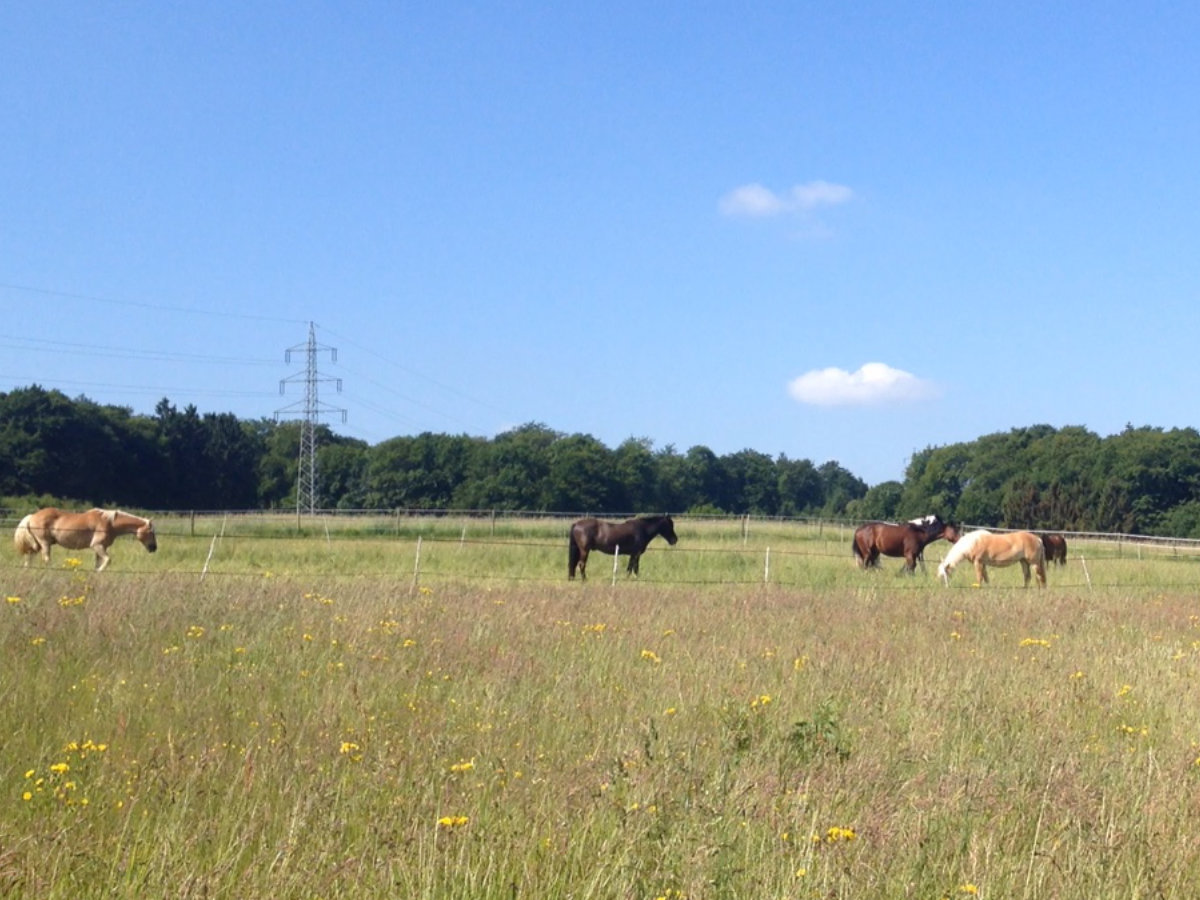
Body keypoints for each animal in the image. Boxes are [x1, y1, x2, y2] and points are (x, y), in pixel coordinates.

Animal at [16, 507, 158, 571]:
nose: (154, 548)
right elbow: (108, 560)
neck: (109, 523)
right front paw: (100, 571)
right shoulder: (97, 546)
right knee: (46, 559)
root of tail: (32, 516)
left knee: (29, 558)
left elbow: (99, 562)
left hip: (37, 545)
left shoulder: (100, 548)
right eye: (151, 532)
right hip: (45, 544)